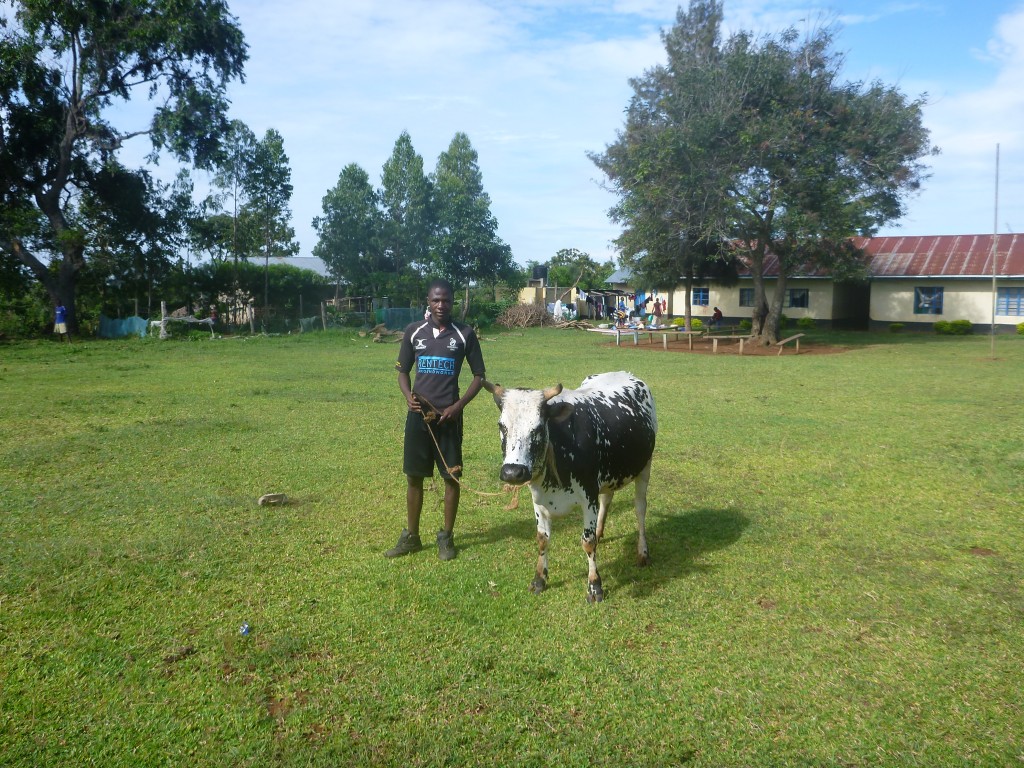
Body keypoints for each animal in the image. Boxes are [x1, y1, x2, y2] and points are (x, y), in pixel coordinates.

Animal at [479, 370, 655, 606]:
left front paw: (594, 586)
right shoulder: (539, 500)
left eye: (538, 428)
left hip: (645, 467)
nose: (512, 472)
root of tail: (623, 373)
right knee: (607, 499)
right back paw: (601, 531)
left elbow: (587, 543)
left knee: (640, 509)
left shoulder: (588, 496)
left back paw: (642, 552)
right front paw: (539, 579)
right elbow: (542, 539)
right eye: (501, 426)